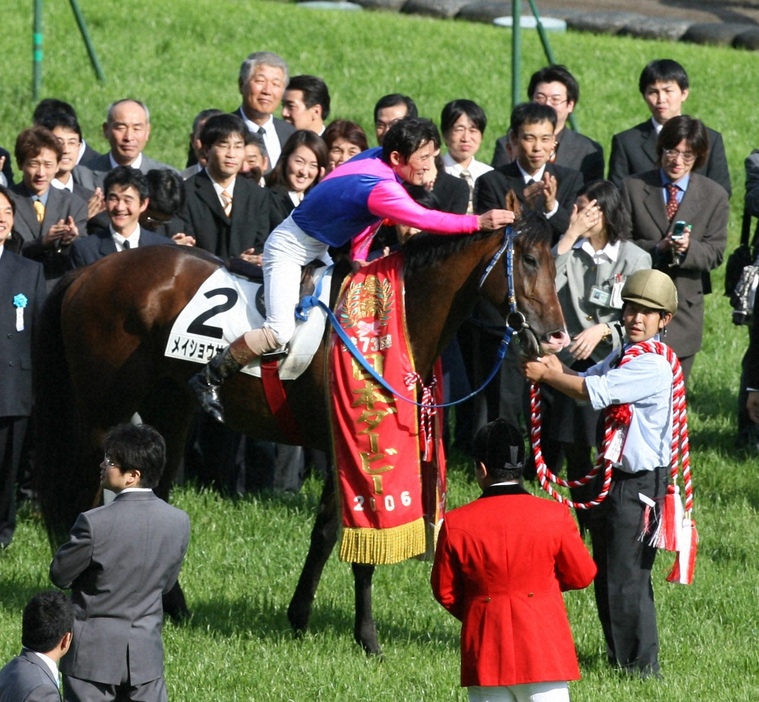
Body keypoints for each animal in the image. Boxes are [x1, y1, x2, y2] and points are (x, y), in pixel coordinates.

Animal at [35, 209, 568, 656]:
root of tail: (87, 273)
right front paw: (367, 637)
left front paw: (300, 615)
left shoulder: (339, 449)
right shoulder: (352, 444)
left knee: (154, 492)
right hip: (102, 413)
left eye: (556, 261)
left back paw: (175, 606)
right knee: (87, 498)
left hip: (169, 408)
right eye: (530, 259)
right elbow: (358, 539)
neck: (388, 322)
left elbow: (326, 531)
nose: (556, 336)